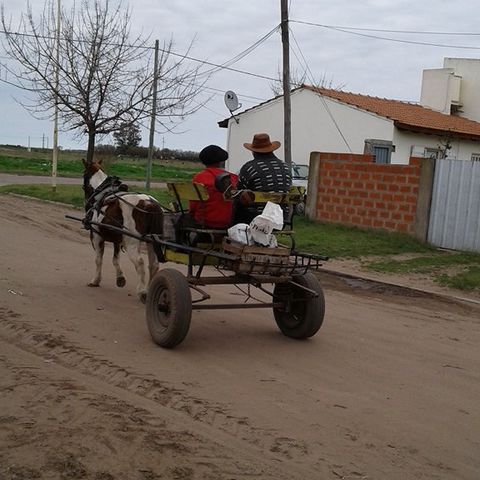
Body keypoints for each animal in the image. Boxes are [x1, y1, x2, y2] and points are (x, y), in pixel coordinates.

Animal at [81, 159, 164, 302]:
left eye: (84, 175)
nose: (87, 202)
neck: (102, 194)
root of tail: (149, 203)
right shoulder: (117, 240)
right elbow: (115, 259)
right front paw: (120, 278)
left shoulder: (96, 237)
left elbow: (98, 259)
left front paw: (96, 280)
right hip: (152, 241)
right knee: (154, 264)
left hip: (131, 242)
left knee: (140, 263)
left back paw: (142, 291)